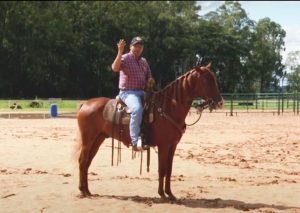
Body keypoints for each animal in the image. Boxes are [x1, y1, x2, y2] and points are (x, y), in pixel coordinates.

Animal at [76, 63, 224, 200]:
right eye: (207, 80)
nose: (220, 102)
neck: (168, 108)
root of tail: (85, 104)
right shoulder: (163, 146)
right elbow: (162, 169)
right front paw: (162, 194)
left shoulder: (173, 146)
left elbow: (169, 169)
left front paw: (170, 194)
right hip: (88, 140)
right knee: (83, 161)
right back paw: (83, 191)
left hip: (98, 139)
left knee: (87, 162)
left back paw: (87, 191)